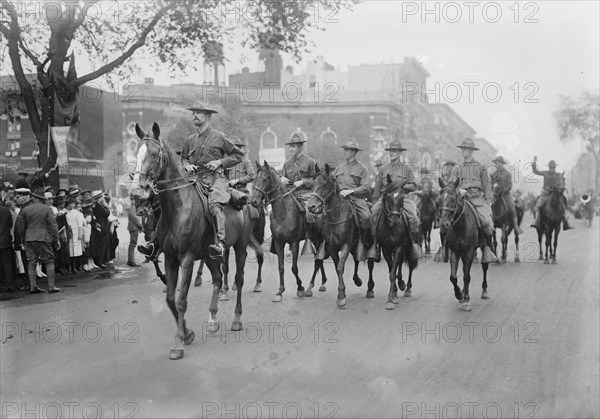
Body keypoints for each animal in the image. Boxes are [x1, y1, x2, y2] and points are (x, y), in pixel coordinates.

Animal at [132, 122, 250, 360]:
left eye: (154, 153)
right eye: (136, 152)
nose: (138, 191)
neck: (176, 208)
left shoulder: (186, 258)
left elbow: (181, 300)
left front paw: (178, 343)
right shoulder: (170, 258)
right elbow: (170, 299)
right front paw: (187, 333)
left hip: (240, 247)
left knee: (239, 280)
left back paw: (236, 319)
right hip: (210, 255)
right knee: (217, 278)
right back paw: (213, 319)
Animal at [250, 161, 328, 302]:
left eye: (265, 178)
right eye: (254, 179)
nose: (254, 201)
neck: (283, 213)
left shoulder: (294, 242)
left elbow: (294, 268)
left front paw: (300, 288)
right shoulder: (279, 243)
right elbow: (281, 267)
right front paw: (280, 292)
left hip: (319, 238)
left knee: (318, 260)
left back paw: (312, 287)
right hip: (315, 238)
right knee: (318, 258)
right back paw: (321, 282)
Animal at [310, 164, 376, 308]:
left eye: (325, 183)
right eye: (312, 184)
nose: (311, 206)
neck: (336, 216)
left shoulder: (346, 244)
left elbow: (340, 267)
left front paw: (341, 296)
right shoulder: (332, 247)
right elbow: (337, 267)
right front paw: (342, 293)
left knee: (370, 264)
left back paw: (370, 289)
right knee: (356, 260)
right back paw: (357, 280)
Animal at [376, 176, 418, 310]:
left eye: (402, 198)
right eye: (387, 197)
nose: (394, 219)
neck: (391, 228)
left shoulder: (399, 247)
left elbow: (393, 272)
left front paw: (391, 299)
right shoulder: (386, 249)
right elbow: (391, 271)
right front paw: (393, 294)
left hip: (408, 247)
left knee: (410, 264)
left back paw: (407, 288)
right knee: (398, 263)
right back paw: (401, 284)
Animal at [438, 177, 490, 312]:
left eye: (453, 199)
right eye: (439, 199)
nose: (444, 224)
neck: (461, 226)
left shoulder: (470, 251)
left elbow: (466, 276)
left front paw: (466, 300)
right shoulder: (455, 251)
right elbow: (453, 277)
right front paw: (459, 294)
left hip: (485, 244)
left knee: (485, 266)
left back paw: (484, 290)